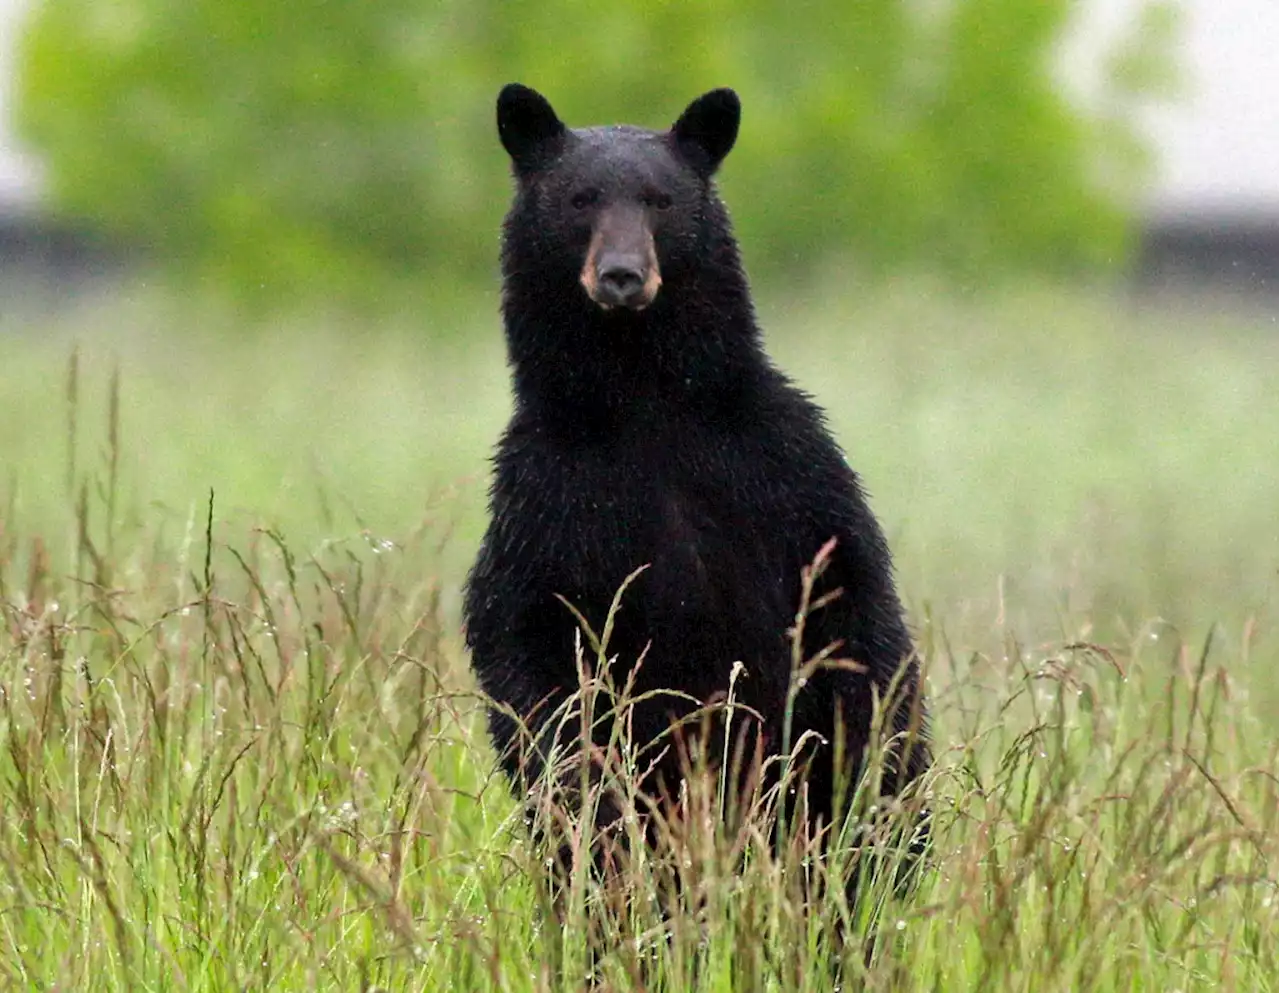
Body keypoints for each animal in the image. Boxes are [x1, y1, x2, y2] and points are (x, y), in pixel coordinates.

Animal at [465, 81, 926, 885]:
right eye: (581, 199)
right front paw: (585, 785)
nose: (622, 275)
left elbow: (855, 609)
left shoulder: (785, 469)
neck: (646, 401)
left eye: (661, 200)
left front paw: (867, 767)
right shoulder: (546, 496)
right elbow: (526, 643)